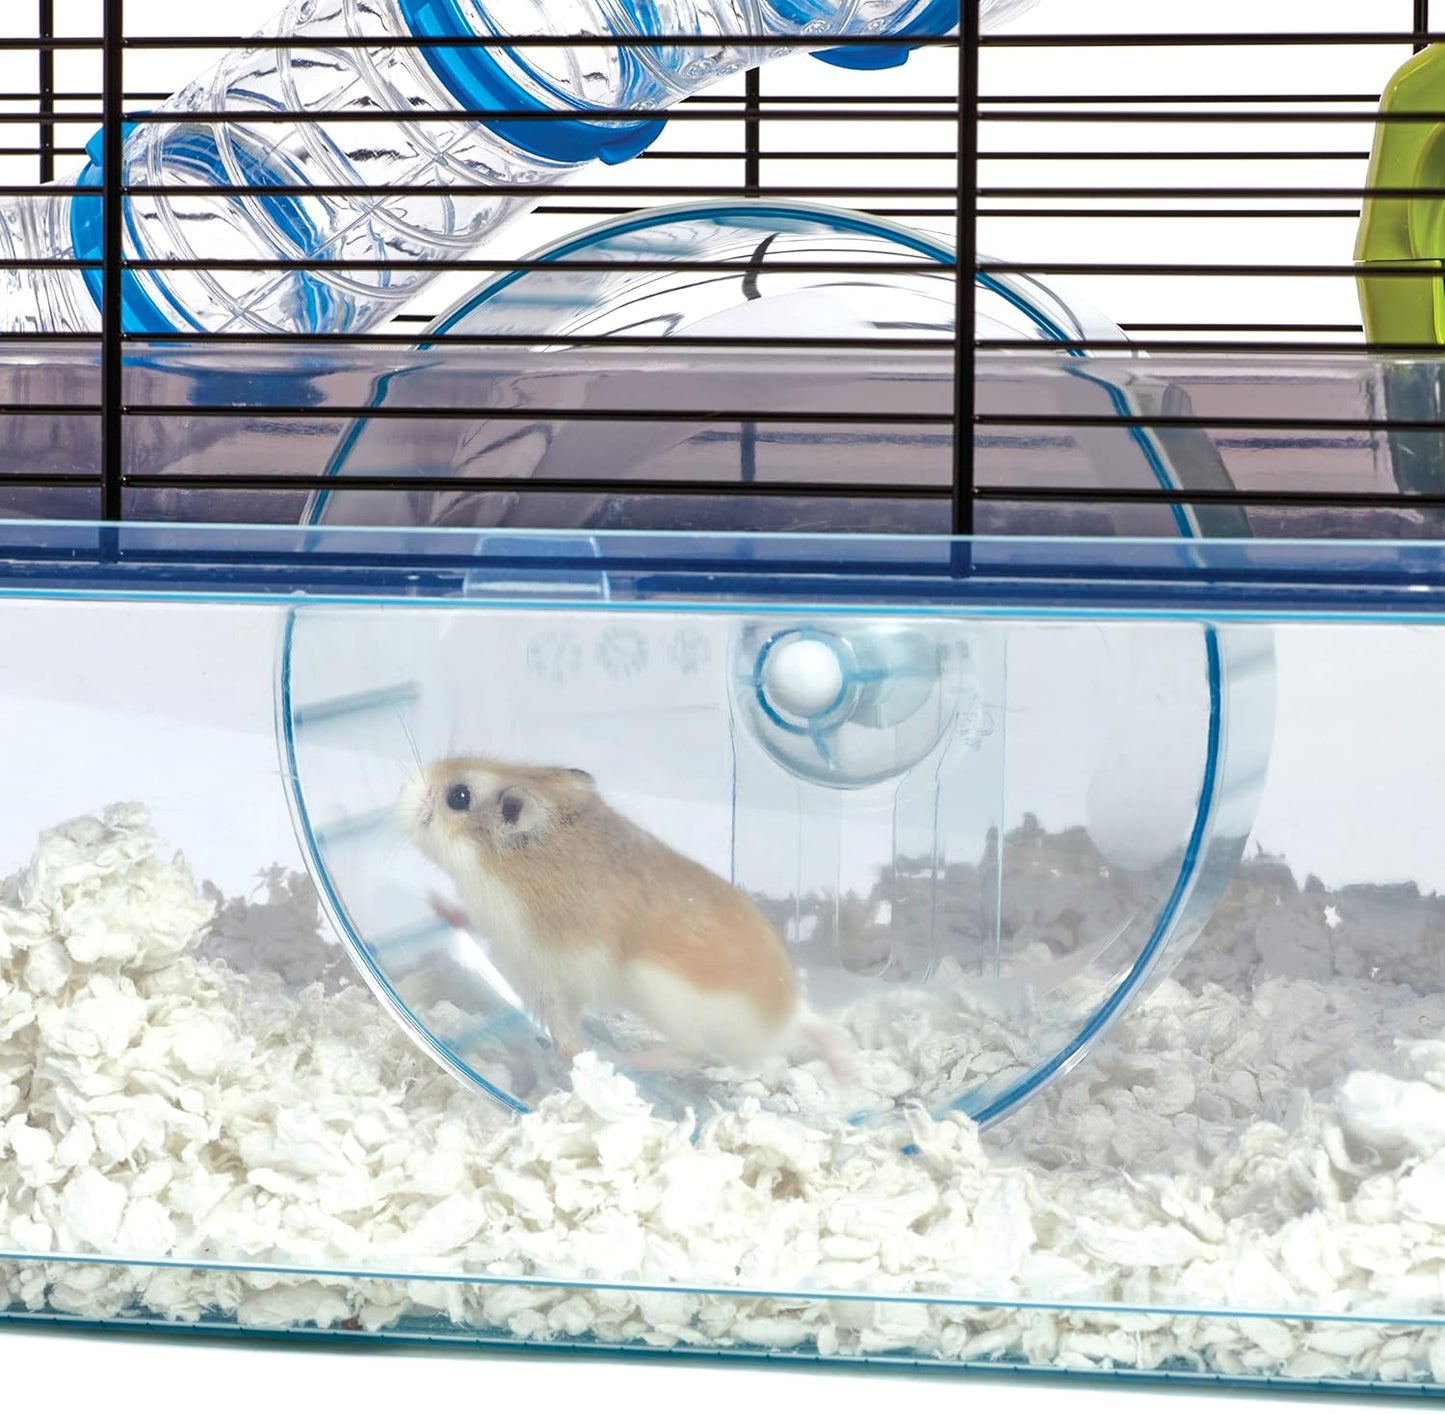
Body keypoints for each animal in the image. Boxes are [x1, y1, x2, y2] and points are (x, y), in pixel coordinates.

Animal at [400, 755, 851, 1080]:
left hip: (659, 995)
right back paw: (846, 1076)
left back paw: (626, 1059)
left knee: (687, 1053)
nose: (403, 790)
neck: (516, 859)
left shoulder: (543, 975)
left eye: (458, 797)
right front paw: (434, 902)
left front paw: (579, 1056)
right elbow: (464, 916)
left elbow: (564, 1034)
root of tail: (782, 1022)